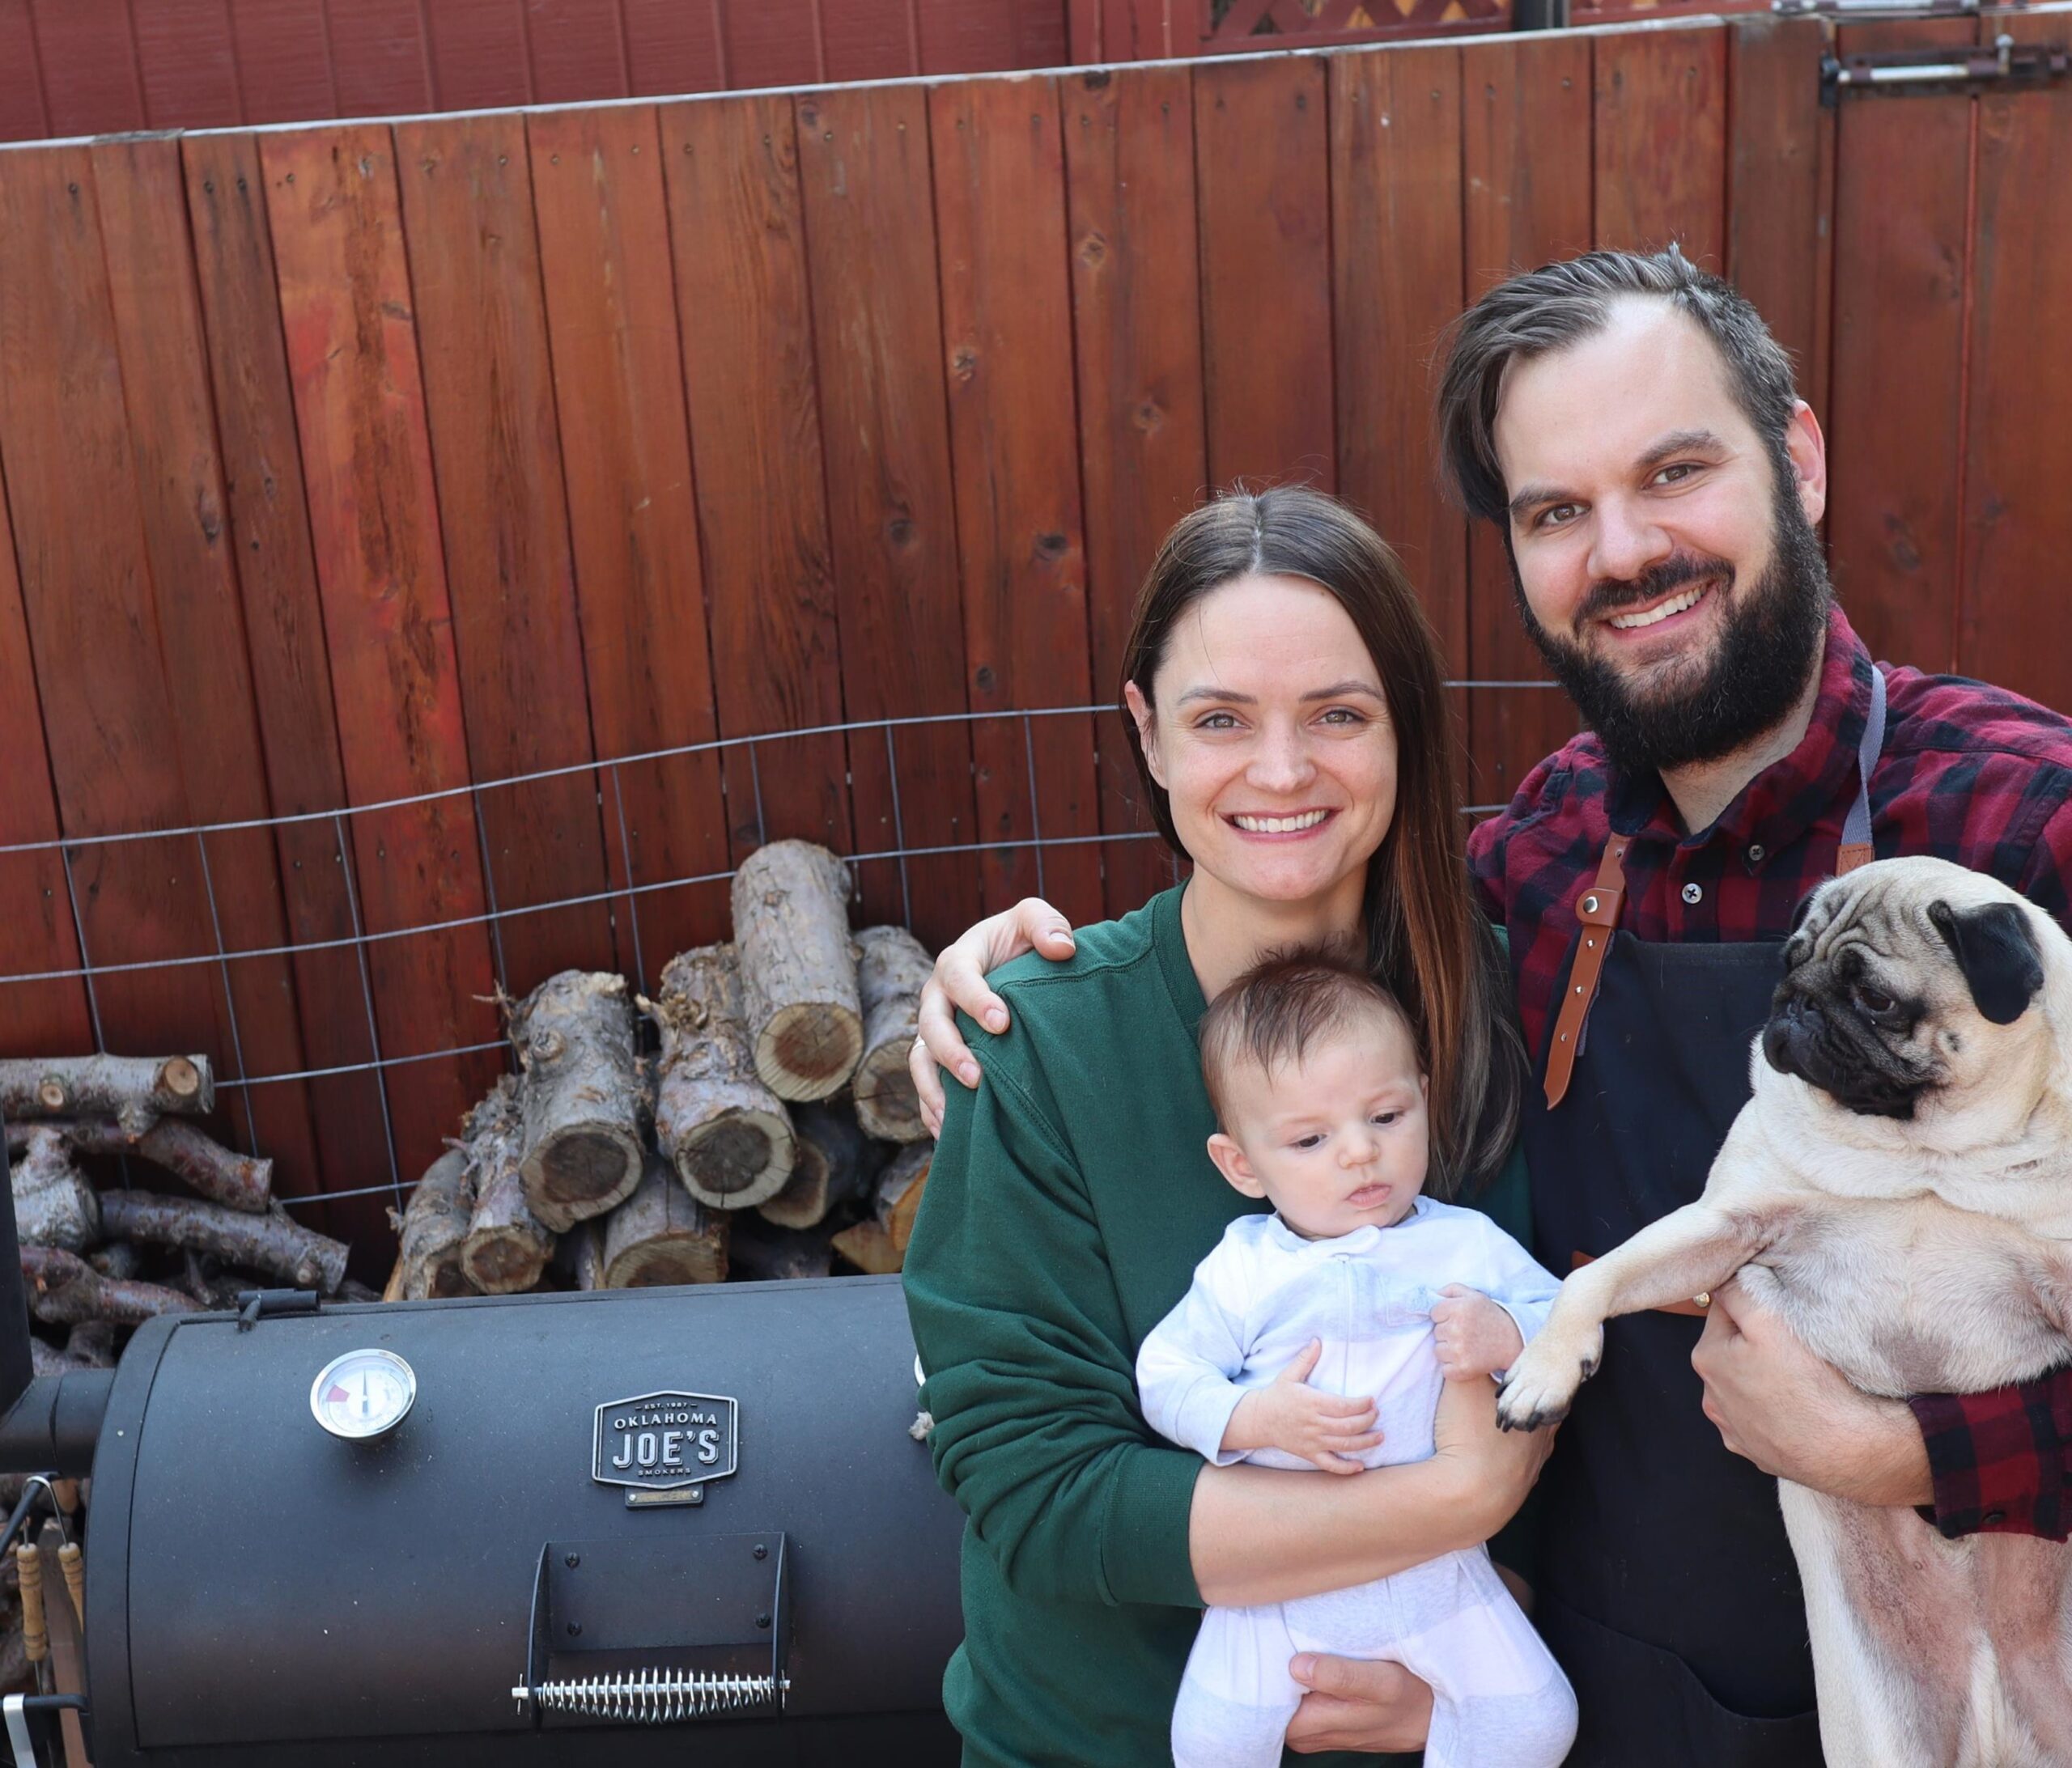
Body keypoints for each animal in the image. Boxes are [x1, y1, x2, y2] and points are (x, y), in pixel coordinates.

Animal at [1500, 853, 2063, 1763]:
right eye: (1789, 961)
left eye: (1874, 998)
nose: (1795, 1003)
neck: (1923, 1158)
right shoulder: (1727, 1221)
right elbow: (1599, 1276)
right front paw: (1548, 1368)